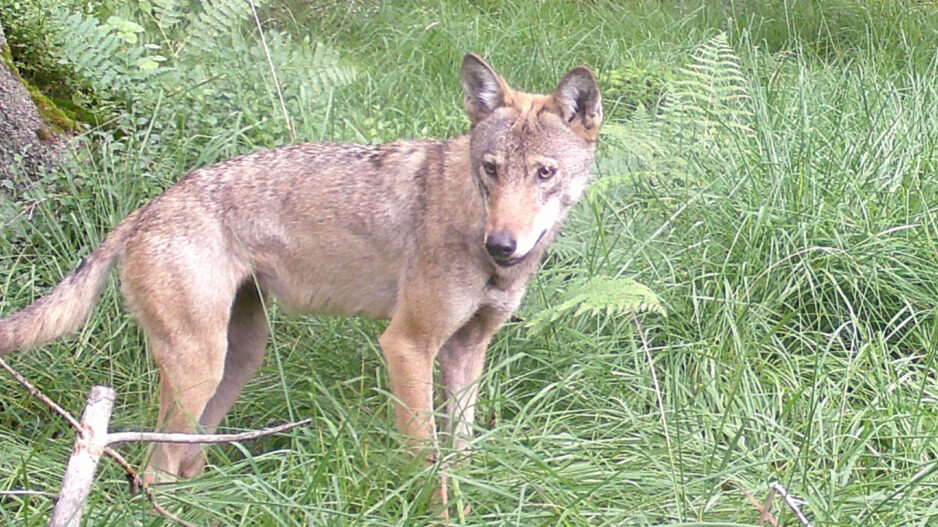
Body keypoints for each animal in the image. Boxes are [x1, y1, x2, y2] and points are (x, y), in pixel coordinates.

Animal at [0, 53, 602, 482]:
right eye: (491, 169)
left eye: (544, 173)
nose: (502, 244)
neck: (471, 219)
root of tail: (146, 209)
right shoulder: (406, 345)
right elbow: (425, 459)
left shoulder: (467, 352)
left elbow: (461, 454)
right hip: (202, 368)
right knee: (155, 470)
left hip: (237, 361)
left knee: (186, 461)